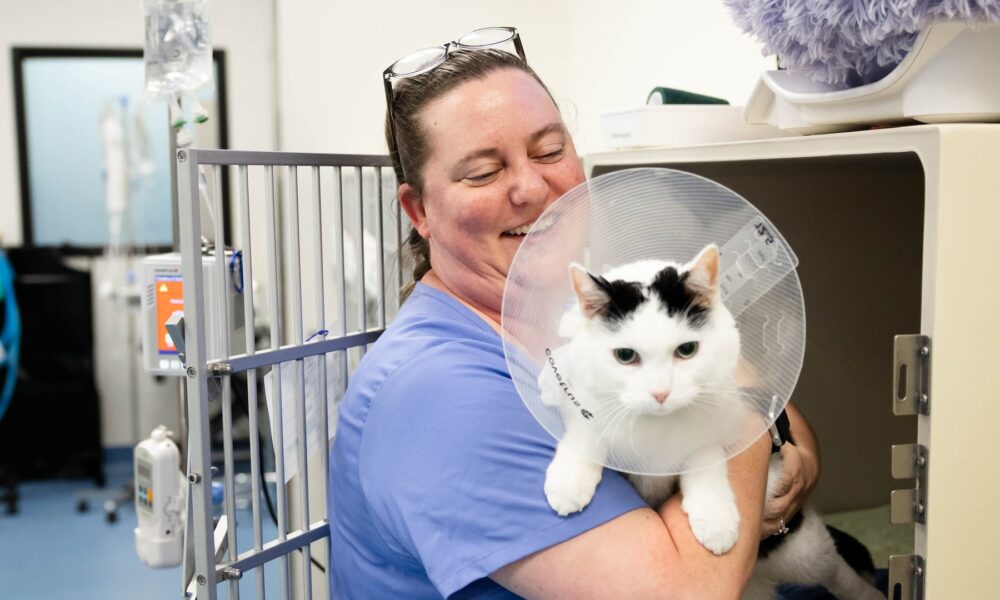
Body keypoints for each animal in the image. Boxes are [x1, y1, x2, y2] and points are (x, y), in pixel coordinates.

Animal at [539, 244, 884, 600]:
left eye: (687, 349)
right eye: (625, 355)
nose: (660, 392)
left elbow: (705, 452)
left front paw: (715, 518)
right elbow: (585, 419)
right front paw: (569, 480)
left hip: (803, 550)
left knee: (840, 573)